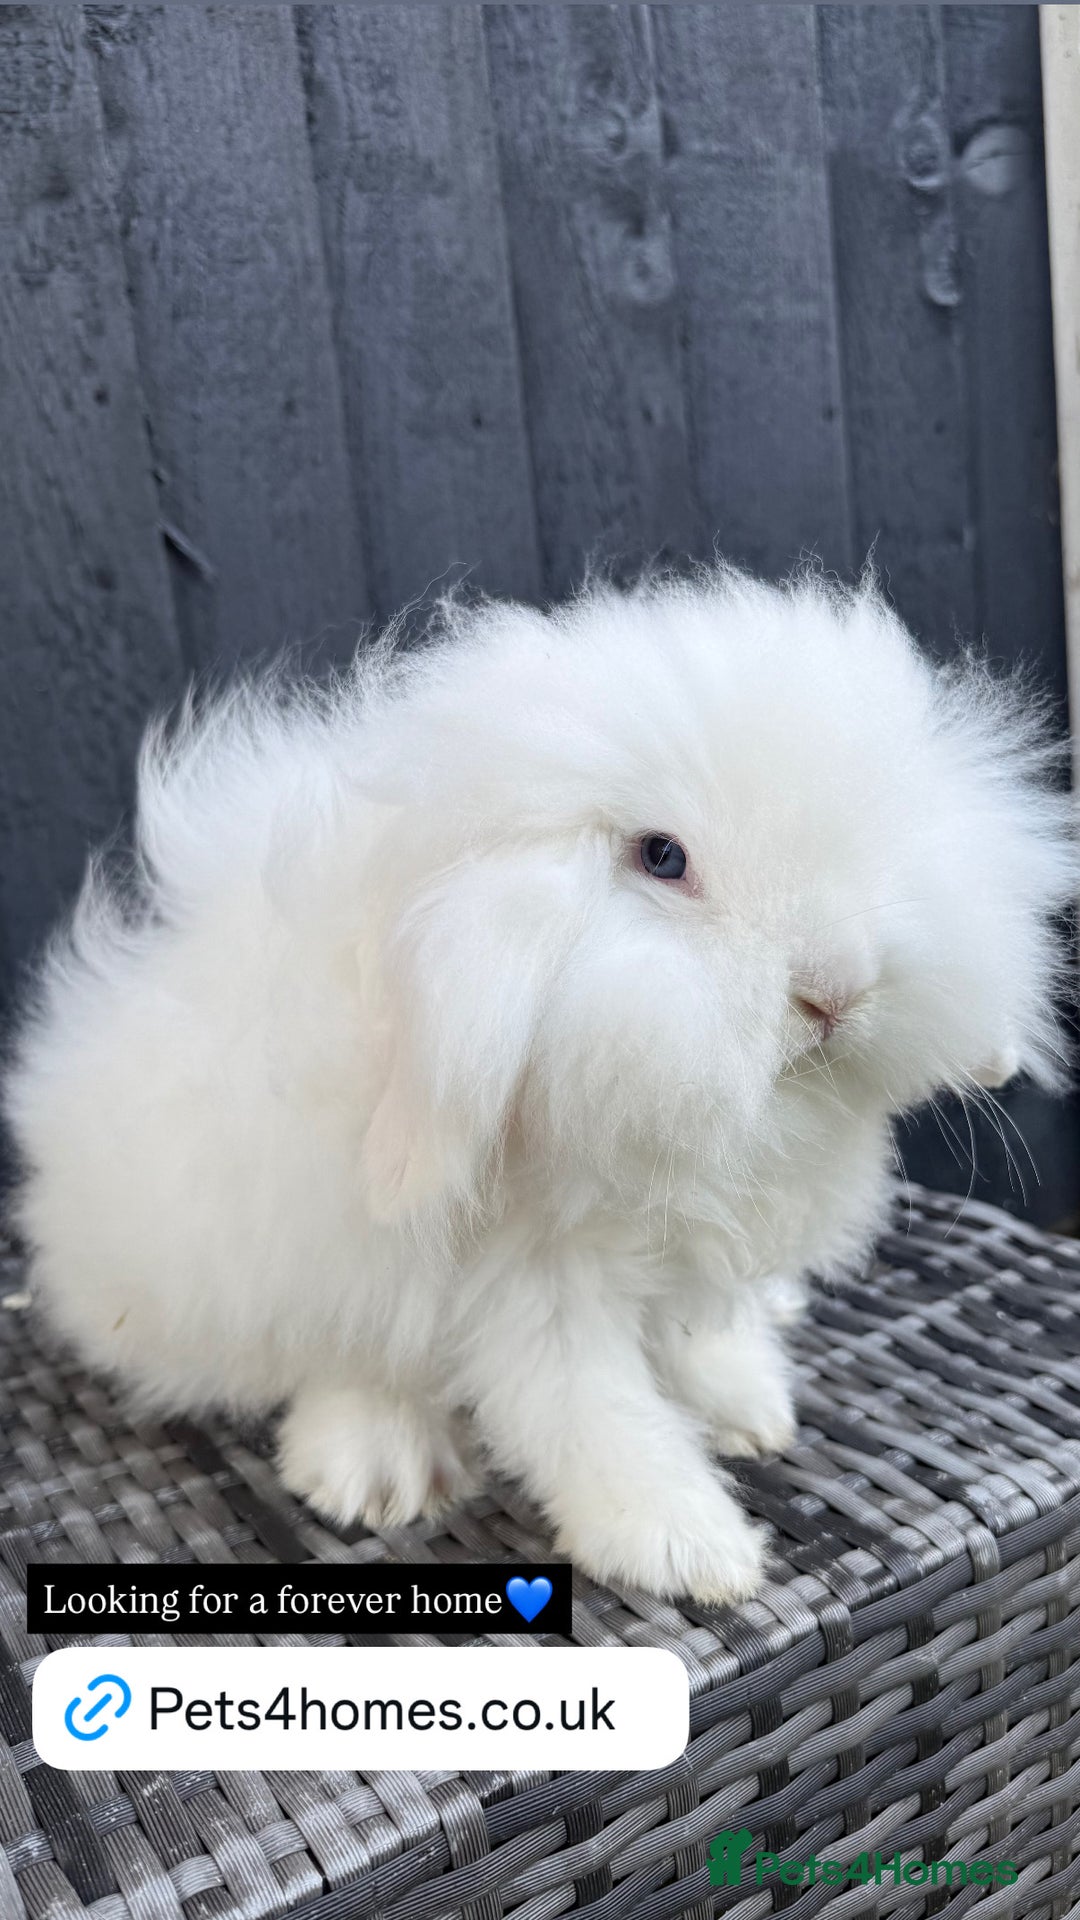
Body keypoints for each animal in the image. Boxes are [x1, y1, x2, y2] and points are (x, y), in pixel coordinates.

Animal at [4, 566, 1074, 1602]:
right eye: (662, 857)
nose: (836, 991)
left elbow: (693, 1337)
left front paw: (746, 1406)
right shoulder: (534, 1282)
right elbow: (587, 1409)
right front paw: (688, 1553)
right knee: (335, 1355)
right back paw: (374, 1471)